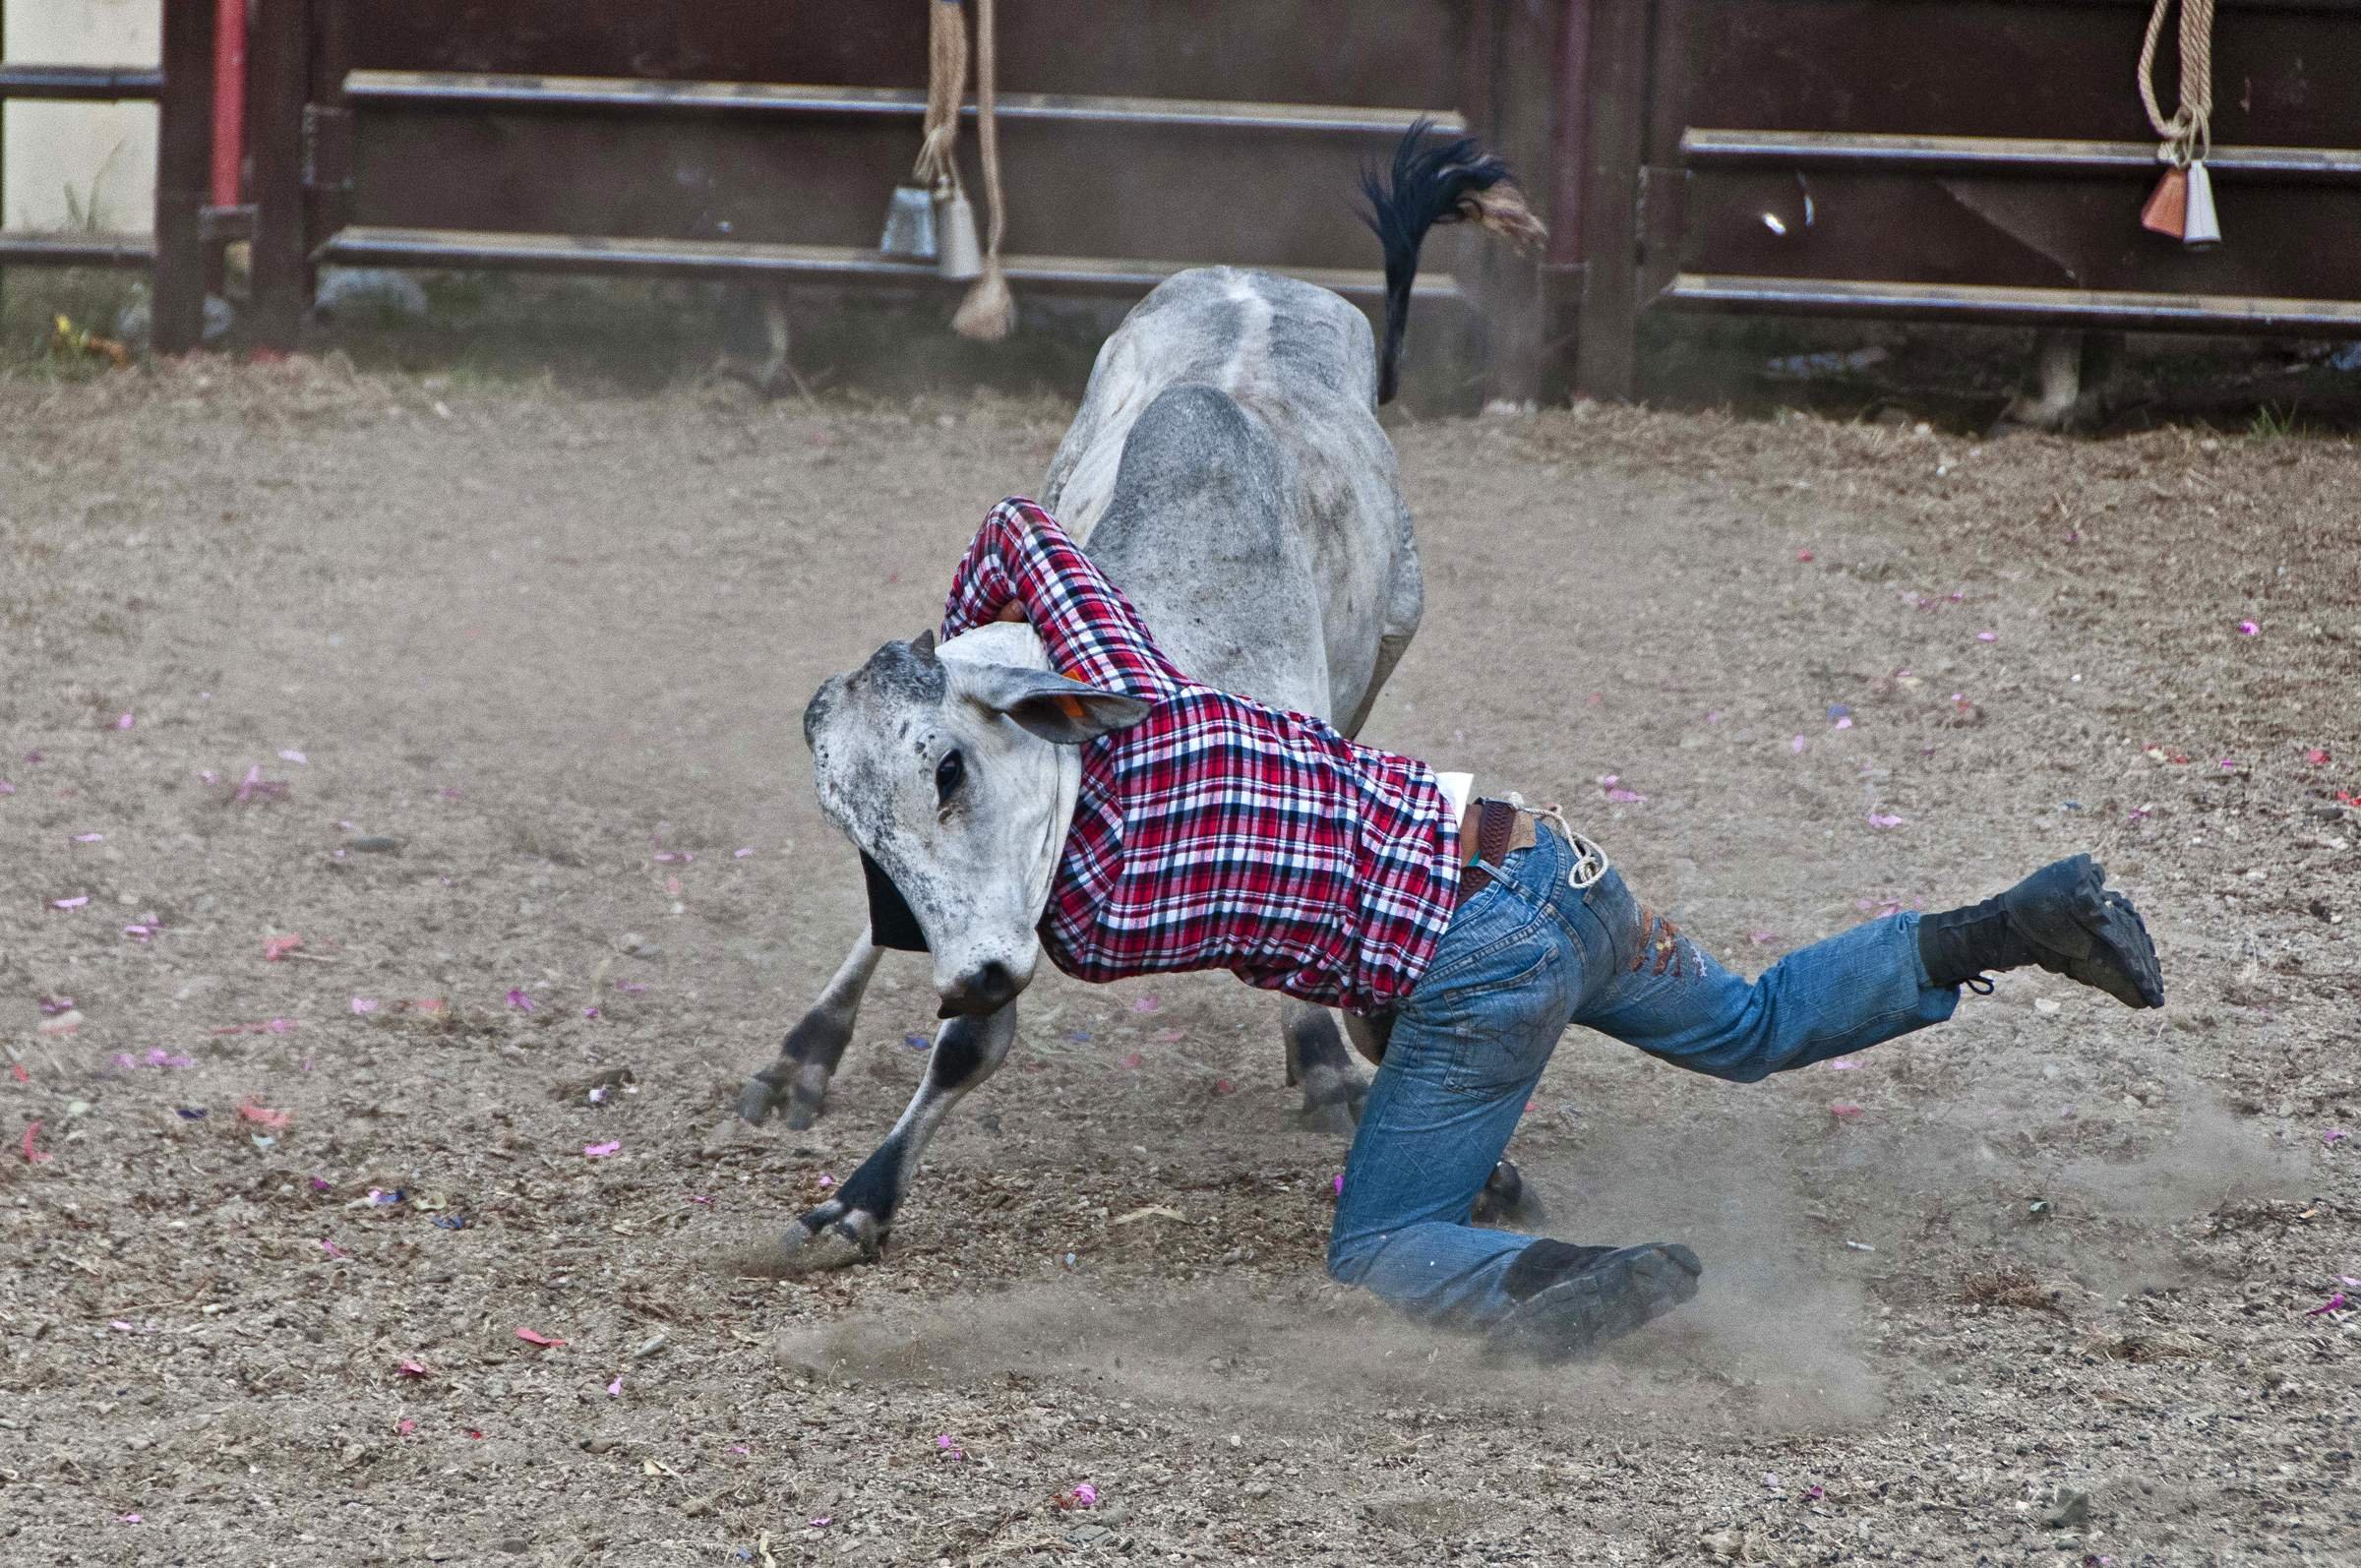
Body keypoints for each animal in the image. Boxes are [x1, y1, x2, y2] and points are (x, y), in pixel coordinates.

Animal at [741, 134, 1548, 1265]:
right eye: (850, 827)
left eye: (948, 768)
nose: (968, 975)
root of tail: (1259, 278)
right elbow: (966, 1044)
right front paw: (857, 1200)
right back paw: (800, 1054)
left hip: (1386, 651)